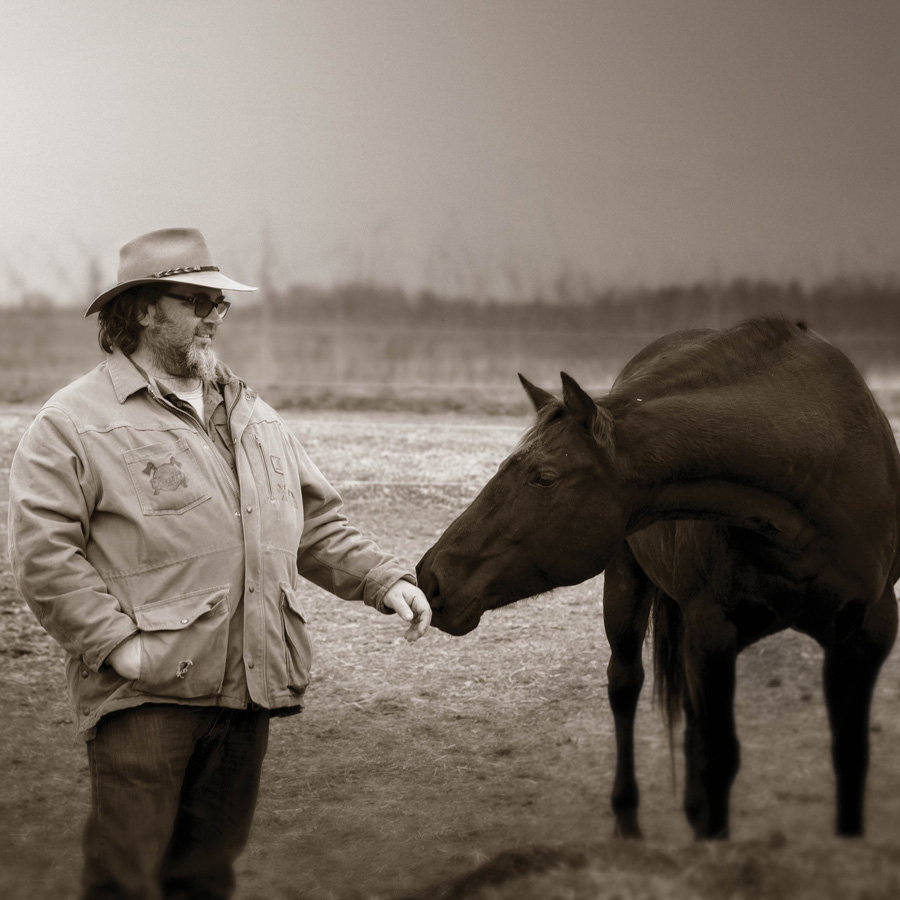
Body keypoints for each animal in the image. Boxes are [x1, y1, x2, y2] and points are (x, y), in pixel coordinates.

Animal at [416, 317, 900, 840]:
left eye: (544, 477)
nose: (431, 576)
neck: (815, 468)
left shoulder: (864, 634)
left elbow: (849, 755)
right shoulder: (712, 633)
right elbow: (719, 757)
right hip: (627, 591)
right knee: (625, 687)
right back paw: (629, 817)